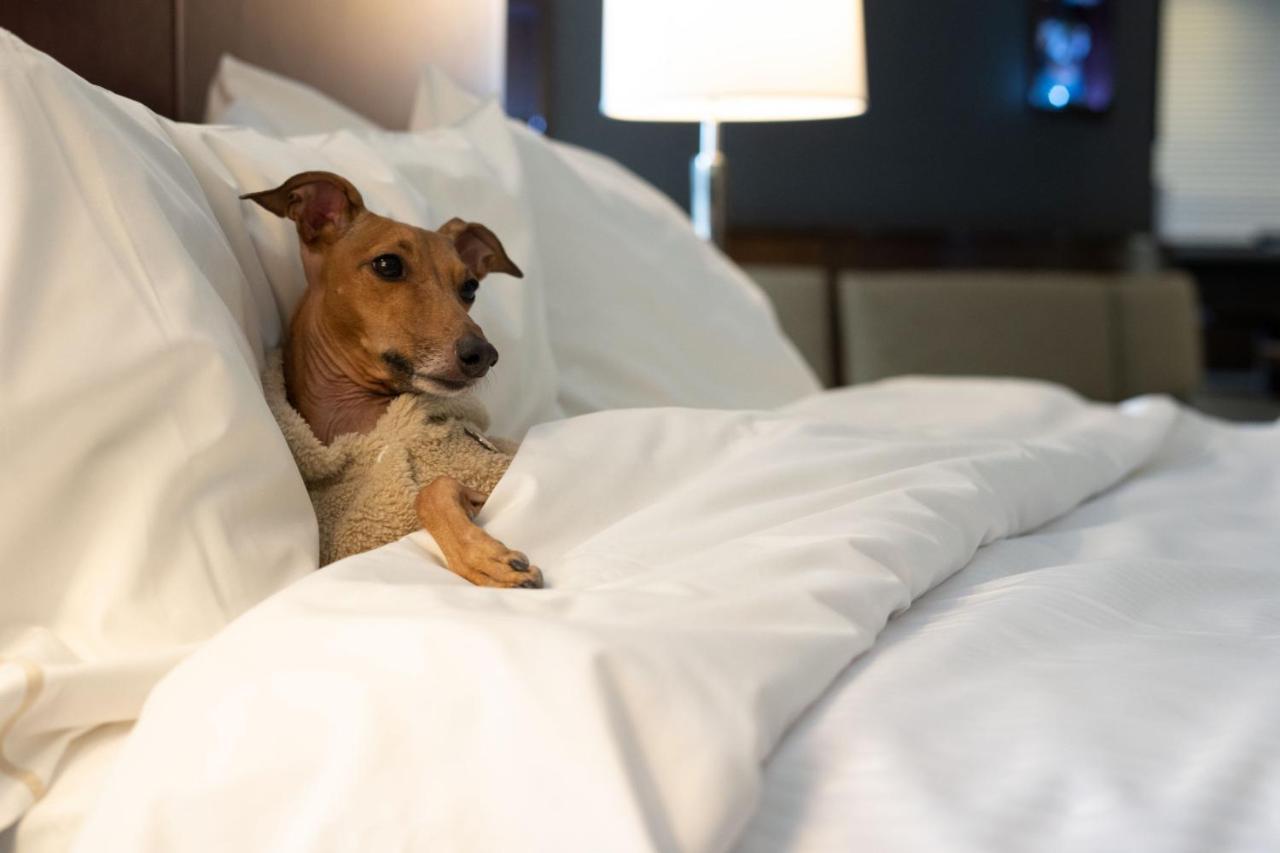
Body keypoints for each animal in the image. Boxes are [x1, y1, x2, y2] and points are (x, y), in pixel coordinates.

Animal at [244, 169, 540, 589]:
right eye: (387, 264)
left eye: (469, 287)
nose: (483, 355)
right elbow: (430, 490)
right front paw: (485, 558)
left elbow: (434, 488)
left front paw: (485, 557)